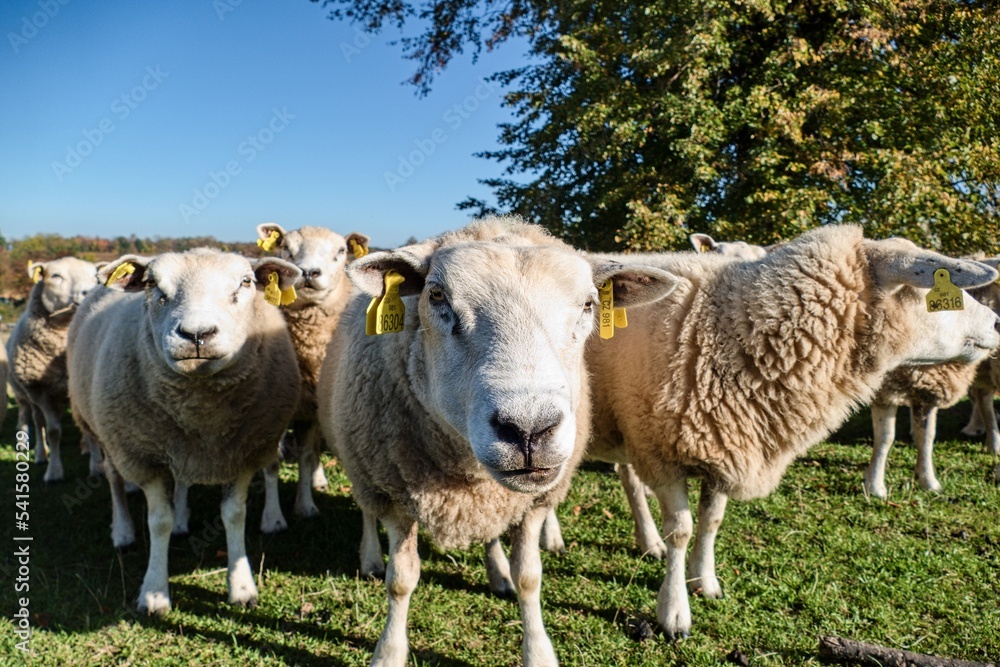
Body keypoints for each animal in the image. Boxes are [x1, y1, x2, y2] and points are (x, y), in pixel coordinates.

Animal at [7, 256, 102, 480]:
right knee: (35, 420)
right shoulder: (41, 392)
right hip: (26, 394)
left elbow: (90, 431)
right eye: (56, 276)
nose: (89, 291)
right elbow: (53, 431)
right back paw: (40, 453)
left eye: (95, 276)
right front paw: (54, 472)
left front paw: (96, 467)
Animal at [66, 250, 300, 616]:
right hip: (106, 432)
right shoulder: (145, 458)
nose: (197, 334)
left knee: (183, 480)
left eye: (246, 281)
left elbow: (234, 514)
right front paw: (154, 594)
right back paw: (123, 531)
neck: (202, 413)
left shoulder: (243, 453)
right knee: (114, 478)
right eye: (151, 284)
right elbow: (158, 520)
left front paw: (242, 588)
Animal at [254, 222, 372, 524]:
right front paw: (273, 518)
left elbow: (307, 457)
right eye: (286, 247)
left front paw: (306, 504)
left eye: (341, 251)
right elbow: (271, 463)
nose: (309, 272)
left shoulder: (311, 408)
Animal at [318, 218, 680, 667]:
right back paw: (369, 556)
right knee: (368, 513)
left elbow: (530, 578)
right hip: (362, 464)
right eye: (436, 296)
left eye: (588, 305)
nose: (528, 430)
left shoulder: (533, 503)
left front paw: (537, 649)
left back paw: (497, 573)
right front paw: (388, 653)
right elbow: (400, 581)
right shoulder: (394, 494)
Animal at [584, 227, 1000, 640]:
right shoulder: (661, 452)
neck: (729, 327)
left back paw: (647, 541)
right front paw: (674, 613)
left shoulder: (726, 445)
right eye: (939, 282)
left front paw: (705, 580)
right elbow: (682, 532)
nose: (997, 323)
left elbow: (711, 521)